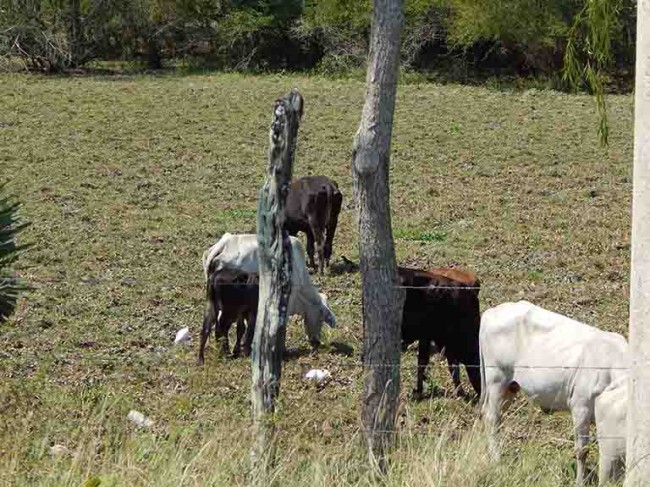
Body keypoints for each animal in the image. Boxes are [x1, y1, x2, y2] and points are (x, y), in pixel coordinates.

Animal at [478, 302, 624, 487]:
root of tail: (492, 311)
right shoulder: (580, 406)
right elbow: (582, 450)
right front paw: (580, 481)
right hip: (496, 380)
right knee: (492, 419)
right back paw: (497, 462)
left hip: (510, 387)